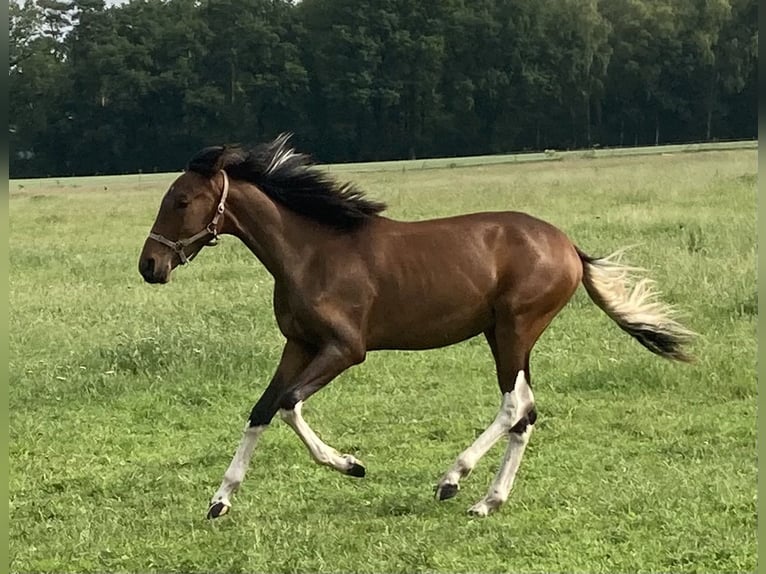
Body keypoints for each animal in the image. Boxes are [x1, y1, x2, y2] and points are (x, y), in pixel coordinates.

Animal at [138, 134, 694, 519]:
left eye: (181, 200)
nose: (149, 266)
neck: (312, 252)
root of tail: (569, 247)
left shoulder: (345, 348)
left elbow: (290, 404)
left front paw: (351, 464)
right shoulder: (298, 343)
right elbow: (261, 410)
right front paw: (220, 500)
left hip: (515, 328)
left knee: (513, 405)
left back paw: (453, 480)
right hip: (503, 334)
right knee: (527, 412)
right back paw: (489, 501)